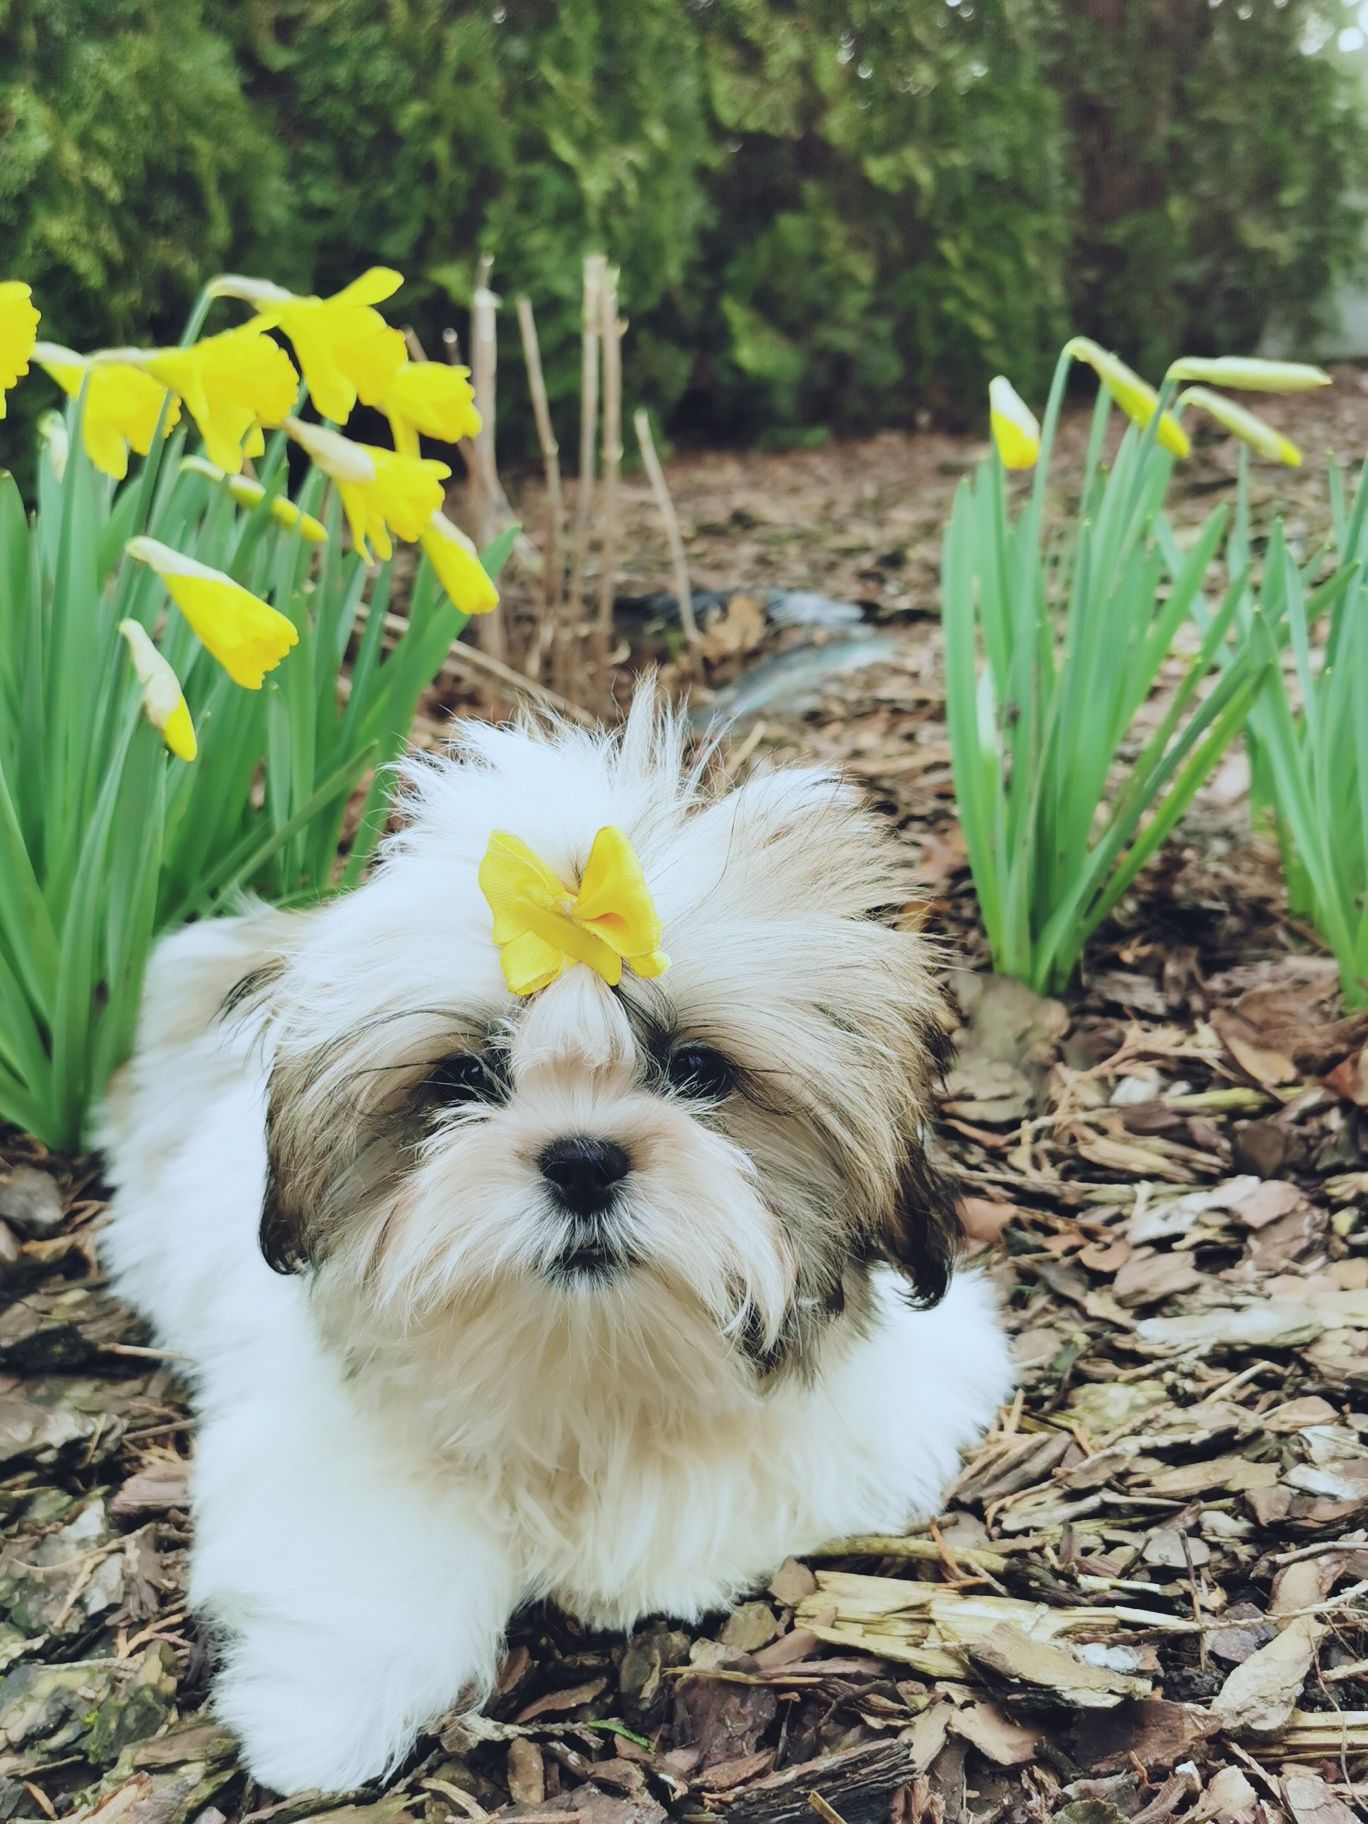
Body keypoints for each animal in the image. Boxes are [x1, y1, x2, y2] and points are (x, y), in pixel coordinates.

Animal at [96, 685, 1014, 1794]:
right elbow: (362, 1540)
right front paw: (323, 1715)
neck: (585, 1353)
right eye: (463, 1078)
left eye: (697, 1070)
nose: (582, 1159)